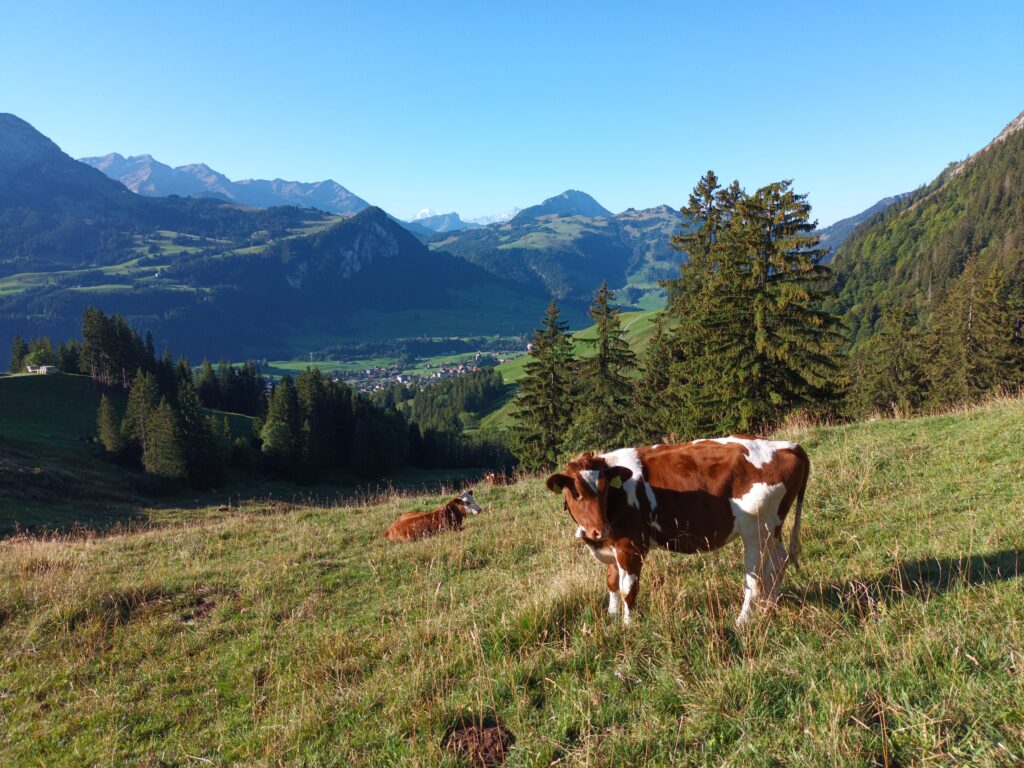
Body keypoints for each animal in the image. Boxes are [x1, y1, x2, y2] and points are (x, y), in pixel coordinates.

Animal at [545, 437, 810, 626]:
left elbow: (627, 588)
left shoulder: (631, 546)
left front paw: (628, 626)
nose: (599, 530)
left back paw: (743, 620)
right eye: (576, 493)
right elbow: (611, 582)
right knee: (778, 562)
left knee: (754, 578)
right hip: (772, 527)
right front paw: (612, 617)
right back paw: (771, 605)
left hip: (756, 529)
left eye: (604, 488)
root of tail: (788, 445)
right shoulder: (613, 544)